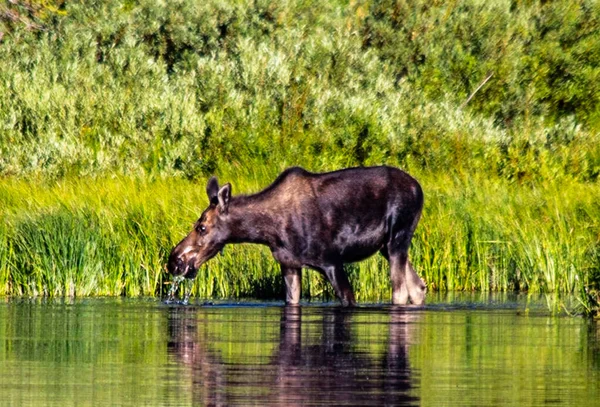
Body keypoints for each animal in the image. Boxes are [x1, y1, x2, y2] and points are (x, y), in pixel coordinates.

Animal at [166, 166, 424, 306]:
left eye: (201, 227)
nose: (174, 260)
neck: (266, 233)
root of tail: (419, 189)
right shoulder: (289, 265)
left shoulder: (331, 262)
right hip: (386, 247)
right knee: (418, 287)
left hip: (398, 238)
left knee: (400, 291)